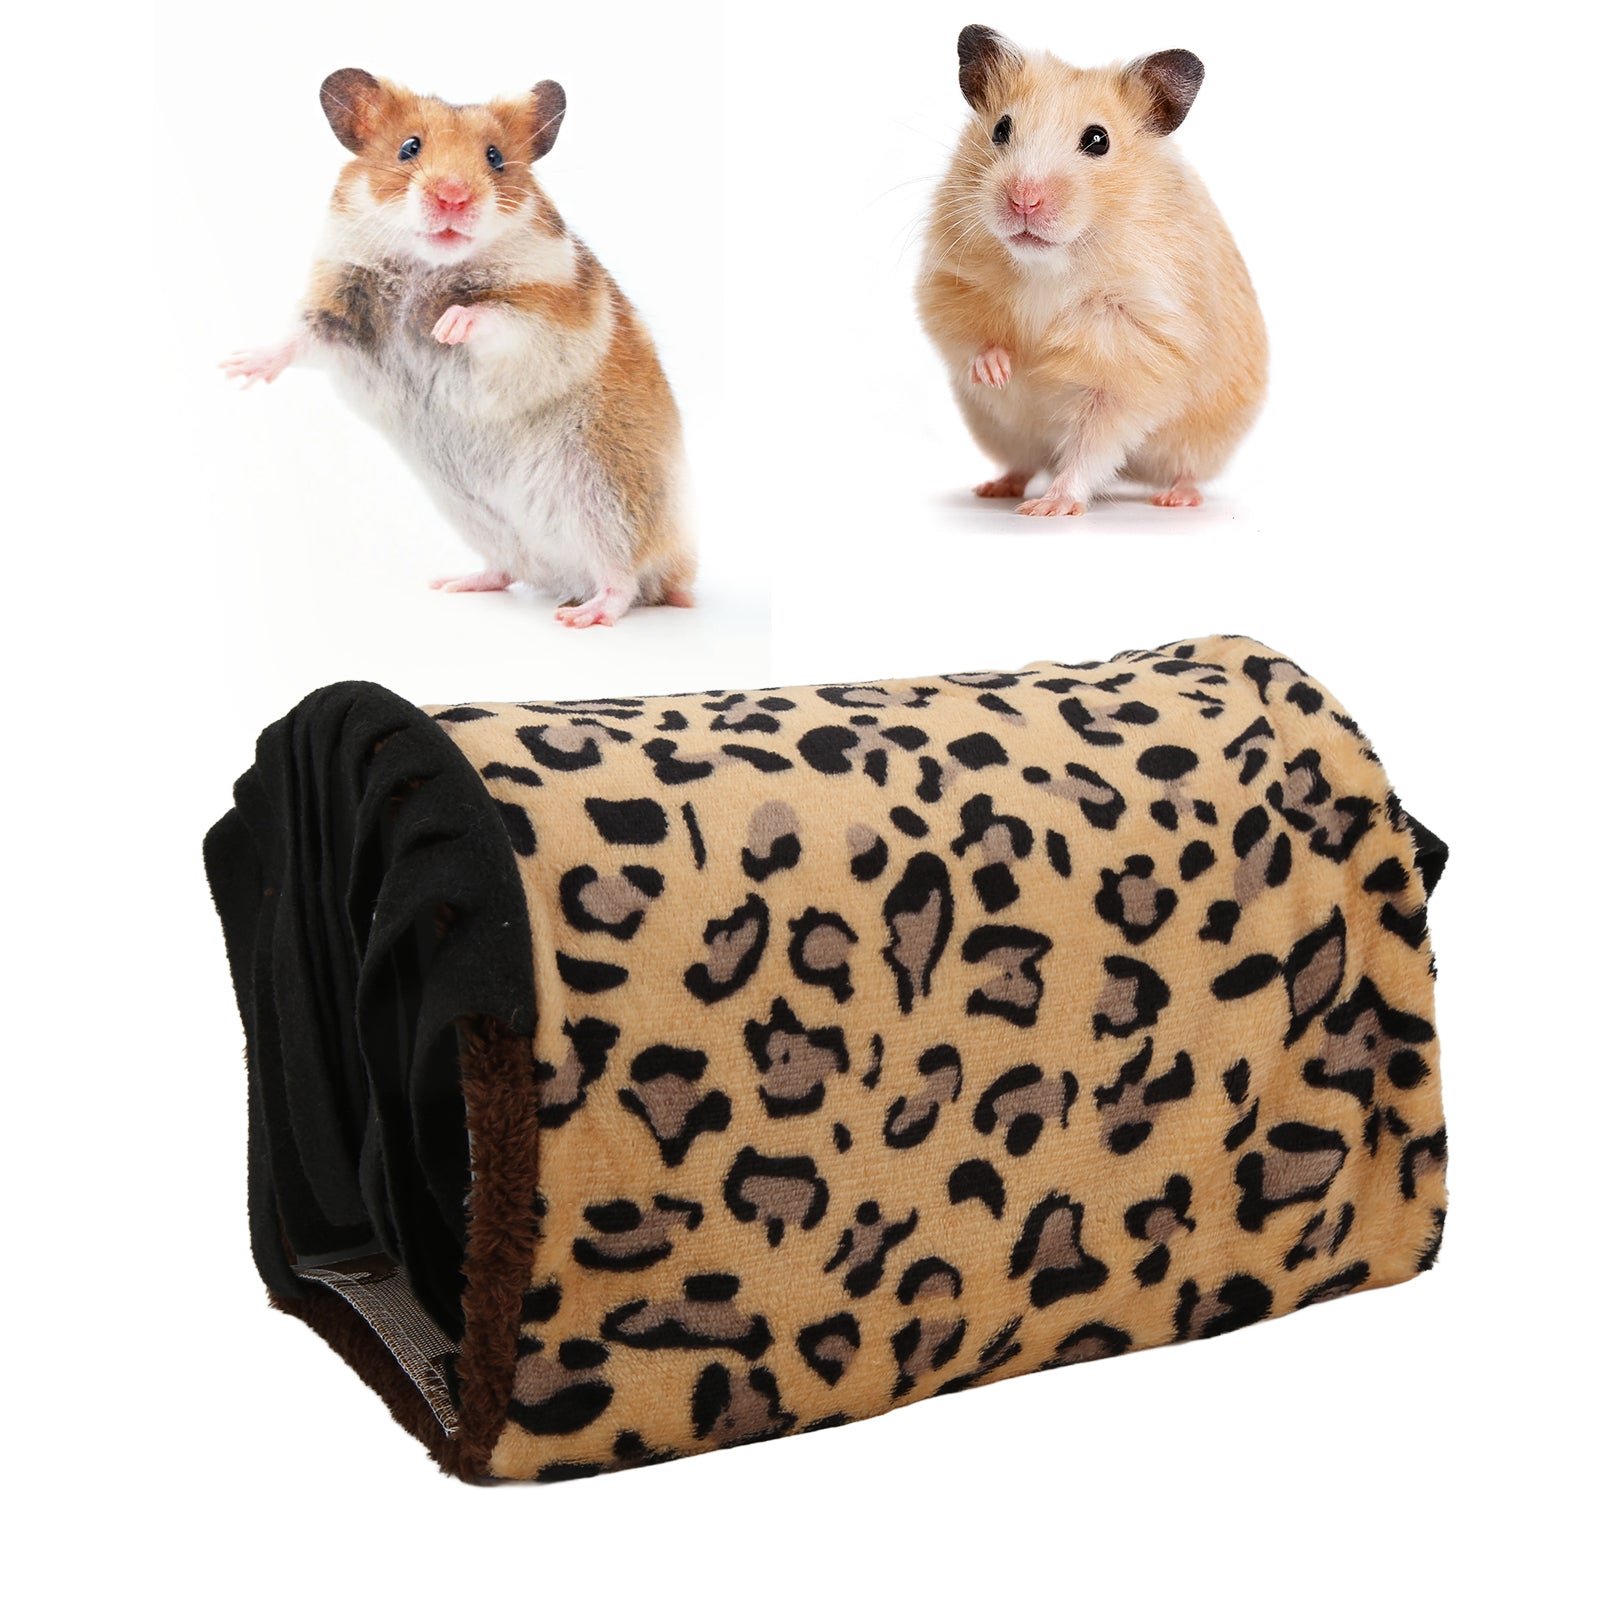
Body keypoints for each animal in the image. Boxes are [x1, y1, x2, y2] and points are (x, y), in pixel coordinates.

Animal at [222, 70, 693, 627]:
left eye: (495, 157)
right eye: (408, 148)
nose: (453, 197)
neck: (427, 264)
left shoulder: (549, 315)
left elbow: (495, 316)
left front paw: (446, 326)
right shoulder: (338, 311)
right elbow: (297, 339)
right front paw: (235, 368)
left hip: (607, 499)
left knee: (625, 580)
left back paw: (582, 616)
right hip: (477, 516)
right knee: (509, 569)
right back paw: (455, 583)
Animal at [916, 27, 1267, 516]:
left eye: (1098, 139)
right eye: (1001, 128)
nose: (1023, 200)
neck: (1048, 264)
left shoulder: (1132, 354)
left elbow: (1092, 441)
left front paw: (1050, 508)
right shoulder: (948, 279)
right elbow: (967, 335)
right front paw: (999, 371)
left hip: (1204, 438)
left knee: (1185, 469)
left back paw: (1174, 498)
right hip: (1001, 432)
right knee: (1024, 462)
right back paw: (995, 488)